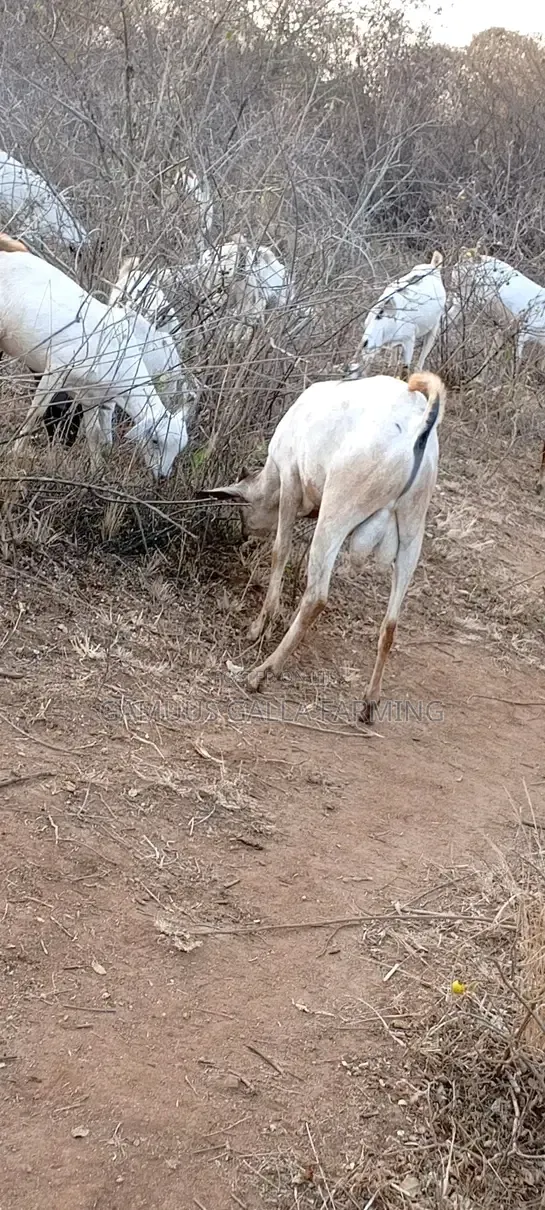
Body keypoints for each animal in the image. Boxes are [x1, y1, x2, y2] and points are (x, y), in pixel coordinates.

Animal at [0, 242, 189, 478]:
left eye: (179, 448)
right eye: (155, 440)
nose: (162, 476)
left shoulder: (91, 396)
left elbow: (94, 433)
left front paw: (96, 469)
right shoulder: (56, 370)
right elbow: (35, 414)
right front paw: (15, 452)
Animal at [201, 370, 445, 722]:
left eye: (243, 512)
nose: (244, 536)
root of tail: (418, 426)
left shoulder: (290, 481)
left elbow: (280, 550)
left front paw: (259, 627)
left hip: (338, 511)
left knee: (317, 597)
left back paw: (263, 672)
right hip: (412, 533)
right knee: (390, 623)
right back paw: (369, 702)